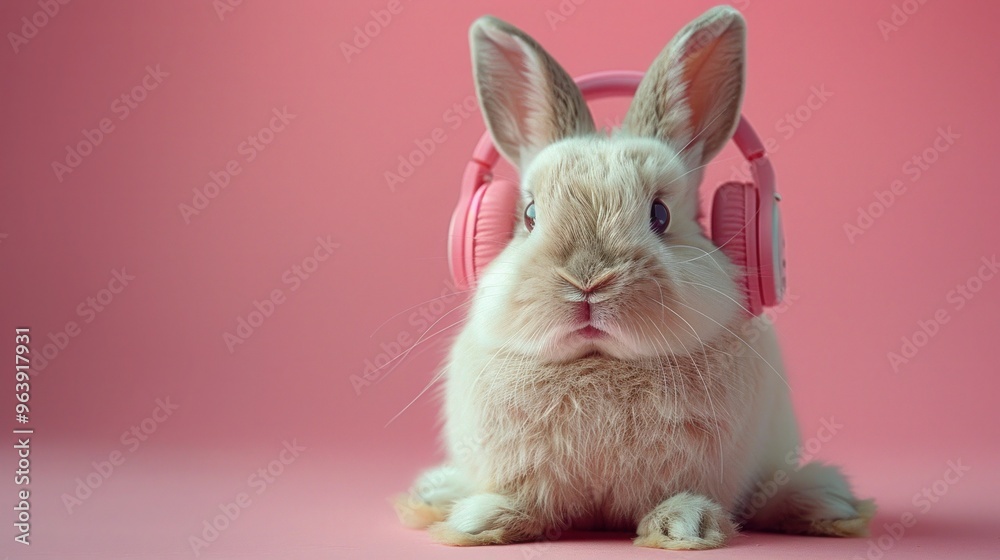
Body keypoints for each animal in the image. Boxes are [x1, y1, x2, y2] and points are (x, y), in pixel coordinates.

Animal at [395, 5, 874, 550]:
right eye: (531, 216)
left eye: (660, 215)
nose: (587, 280)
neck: (599, 362)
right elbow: (528, 500)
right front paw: (483, 520)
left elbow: (682, 497)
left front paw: (684, 526)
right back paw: (435, 493)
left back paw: (826, 502)